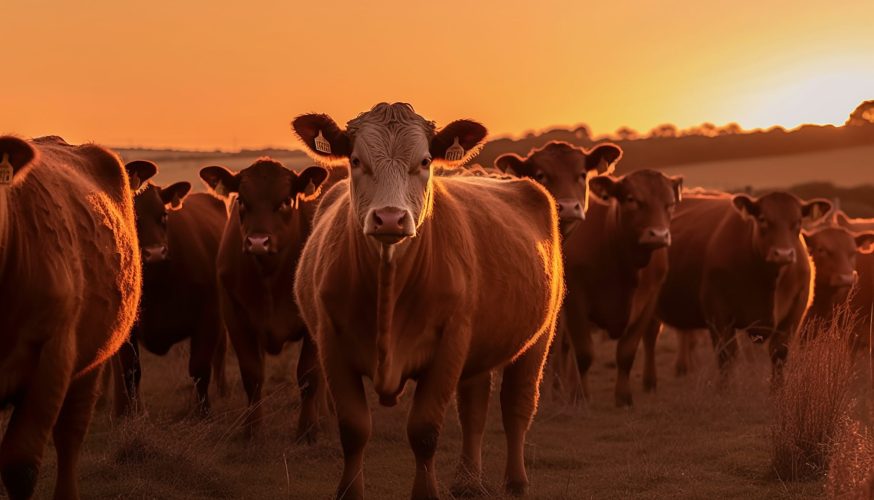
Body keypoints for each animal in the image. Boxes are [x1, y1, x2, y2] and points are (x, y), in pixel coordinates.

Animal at [111, 160, 228, 417]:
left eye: (163, 214)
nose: (155, 253)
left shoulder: (209, 315)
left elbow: (200, 368)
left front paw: (204, 414)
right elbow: (131, 372)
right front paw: (131, 416)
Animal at [199, 159, 335, 442]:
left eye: (285, 201)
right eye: (241, 200)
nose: (258, 242)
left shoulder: (313, 323)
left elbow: (309, 376)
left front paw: (308, 430)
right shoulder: (237, 318)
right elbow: (252, 375)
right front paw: (252, 430)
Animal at [292, 102, 564, 499]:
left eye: (423, 161)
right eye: (356, 160)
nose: (390, 218)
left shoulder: (449, 344)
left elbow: (424, 431)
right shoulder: (331, 343)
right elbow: (354, 429)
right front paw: (350, 492)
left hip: (538, 338)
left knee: (516, 405)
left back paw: (515, 481)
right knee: (474, 409)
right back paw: (467, 481)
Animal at [496, 146, 681, 406]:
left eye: (670, 203)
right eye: (631, 199)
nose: (658, 235)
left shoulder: (649, 300)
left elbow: (627, 352)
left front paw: (624, 397)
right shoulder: (575, 301)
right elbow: (583, 353)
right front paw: (581, 397)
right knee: (559, 348)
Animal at [657, 192, 831, 383]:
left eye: (798, 221)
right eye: (762, 219)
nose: (783, 254)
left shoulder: (794, 313)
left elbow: (779, 354)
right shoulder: (718, 313)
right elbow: (726, 357)